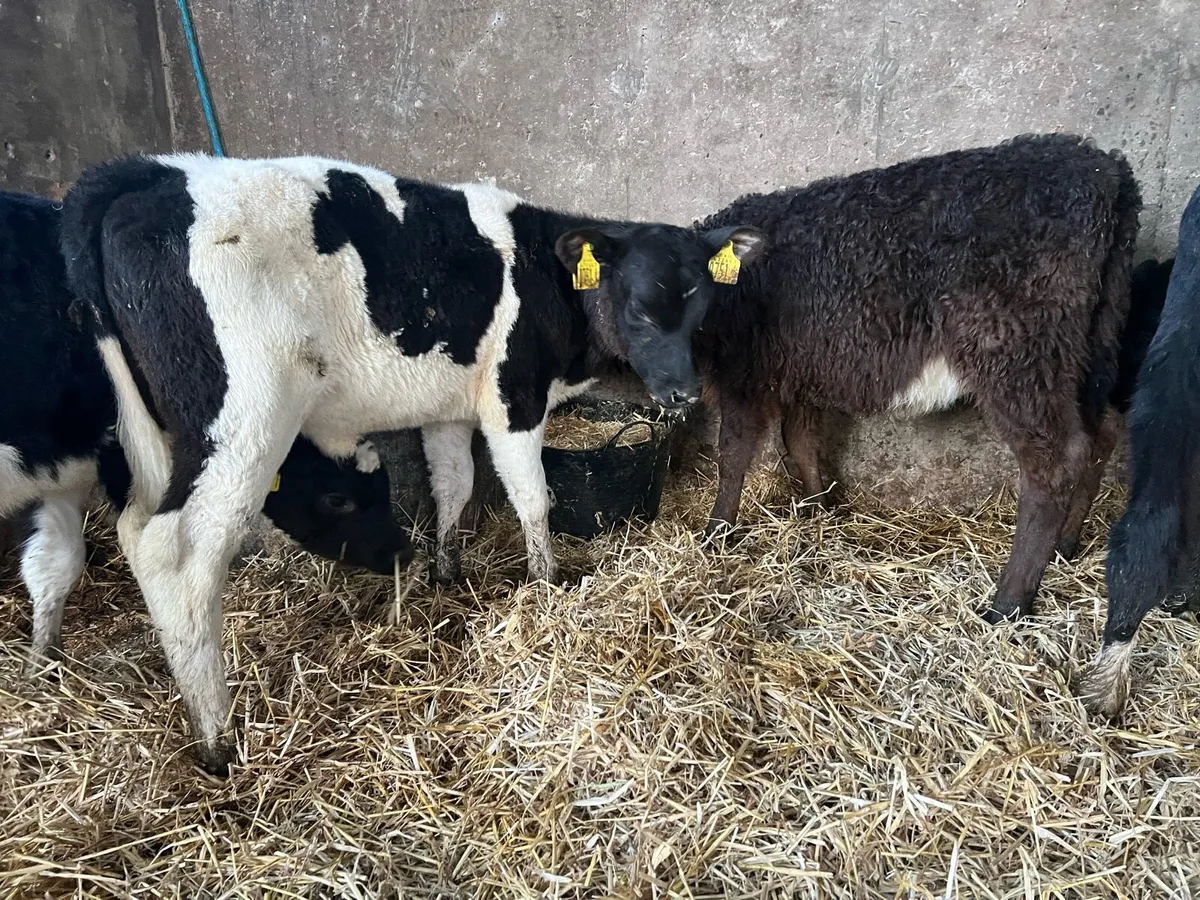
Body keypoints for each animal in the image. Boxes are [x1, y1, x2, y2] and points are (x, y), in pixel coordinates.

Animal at [59, 154, 767, 773]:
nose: (684, 393)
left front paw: (446, 572)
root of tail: (146, 173)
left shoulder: (448, 408)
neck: (547, 277)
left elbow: (452, 486)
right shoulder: (513, 397)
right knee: (176, 553)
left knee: (134, 527)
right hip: (241, 422)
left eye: (702, 309)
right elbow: (532, 497)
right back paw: (216, 734)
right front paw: (545, 584)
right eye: (642, 307)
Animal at [688, 134, 1142, 623]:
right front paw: (817, 509)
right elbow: (801, 442)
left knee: (1054, 460)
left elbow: (733, 453)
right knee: (1100, 434)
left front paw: (717, 531)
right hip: (1089, 349)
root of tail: (1101, 166)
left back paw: (1008, 602)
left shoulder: (742, 379)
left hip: (1018, 353)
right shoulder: (802, 370)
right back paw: (1065, 545)